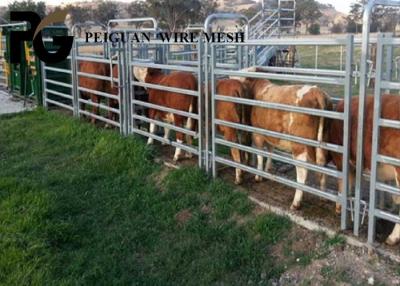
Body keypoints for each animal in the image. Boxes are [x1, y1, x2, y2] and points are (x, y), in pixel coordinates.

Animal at [233, 67, 330, 210]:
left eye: (242, 77)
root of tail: (315, 91)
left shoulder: (258, 133)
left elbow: (260, 154)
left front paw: (258, 176)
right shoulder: (271, 134)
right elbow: (270, 151)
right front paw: (267, 170)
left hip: (299, 145)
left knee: (302, 172)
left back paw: (296, 202)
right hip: (323, 143)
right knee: (322, 165)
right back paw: (323, 196)